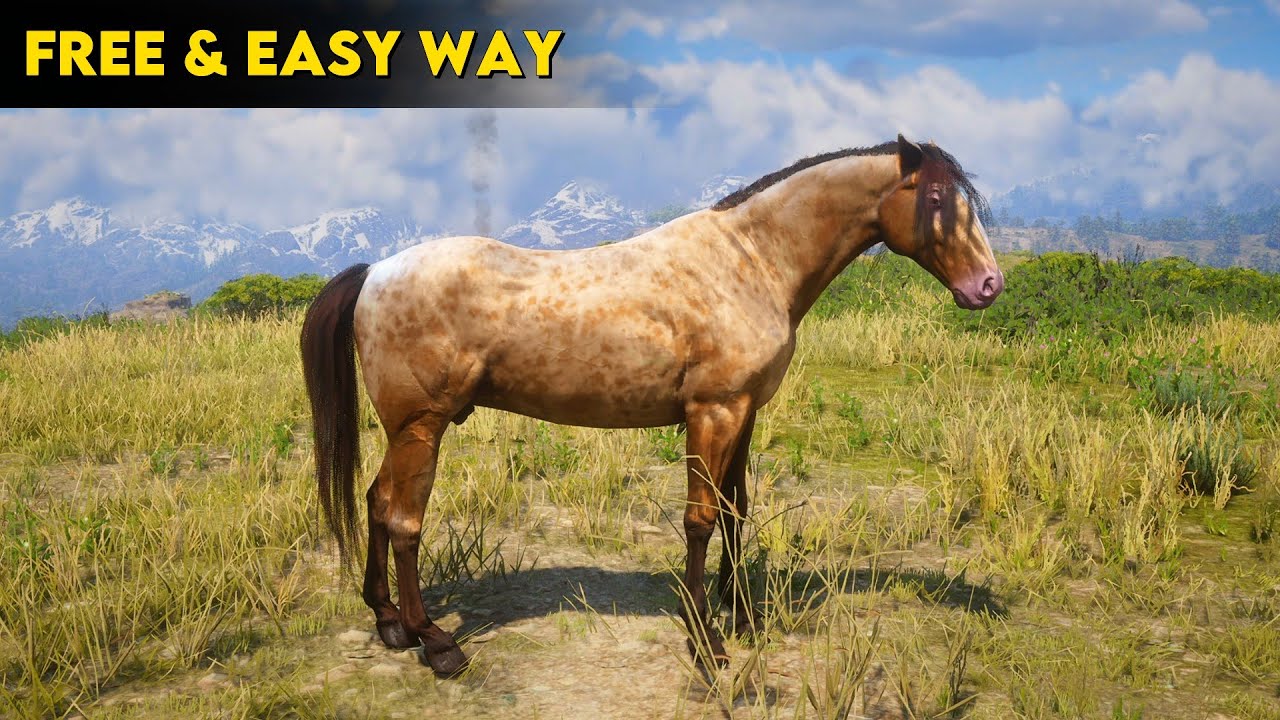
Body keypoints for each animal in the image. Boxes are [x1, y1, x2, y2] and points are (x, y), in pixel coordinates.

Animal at [300, 134, 1003, 676]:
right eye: (935, 200)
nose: (988, 285)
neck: (751, 260)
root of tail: (375, 271)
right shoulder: (712, 413)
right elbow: (699, 521)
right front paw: (705, 642)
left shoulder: (743, 414)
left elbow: (735, 512)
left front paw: (741, 615)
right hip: (422, 427)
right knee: (404, 522)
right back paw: (436, 644)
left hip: (404, 431)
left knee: (375, 501)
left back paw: (389, 623)